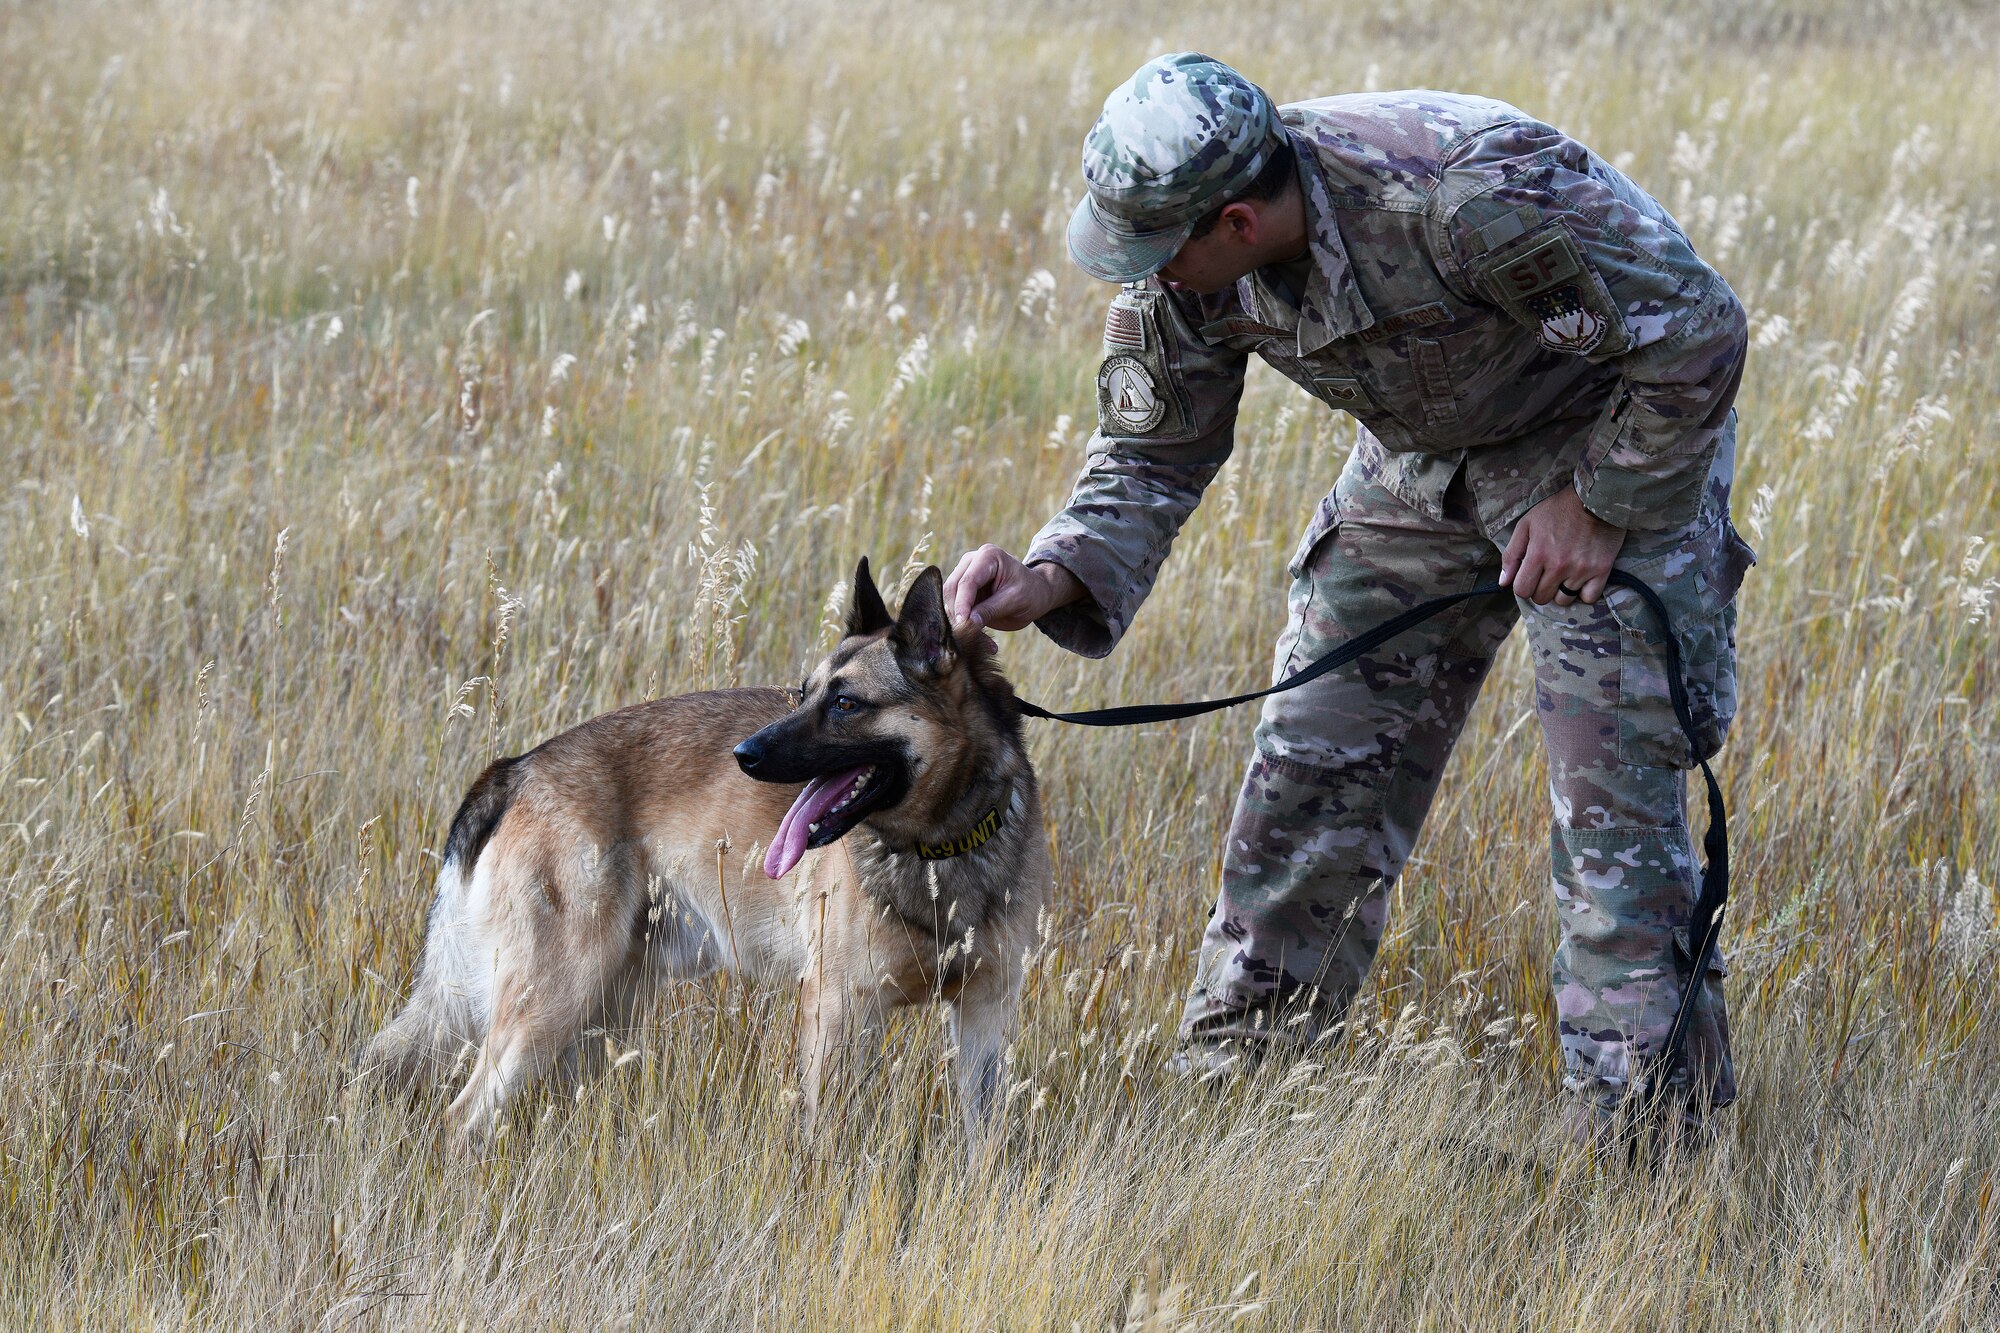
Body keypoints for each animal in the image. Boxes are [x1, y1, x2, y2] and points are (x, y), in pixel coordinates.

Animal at [362, 560, 1048, 1144]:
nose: (745, 755)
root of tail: (519, 767)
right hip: (551, 1006)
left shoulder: (985, 1015)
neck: (939, 849)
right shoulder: (837, 1013)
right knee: (460, 1119)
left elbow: (983, 1146)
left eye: (845, 704)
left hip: (593, 1019)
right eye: (803, 692)